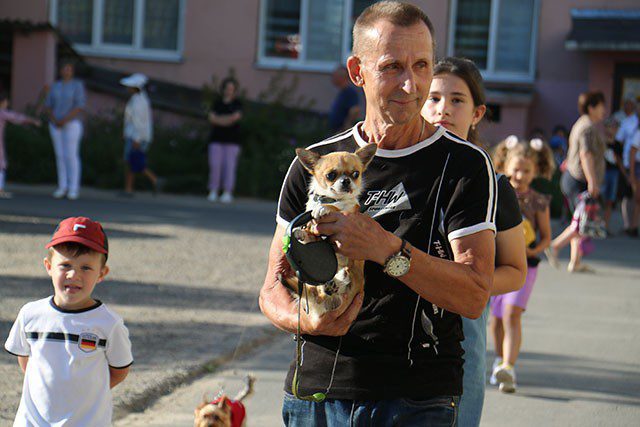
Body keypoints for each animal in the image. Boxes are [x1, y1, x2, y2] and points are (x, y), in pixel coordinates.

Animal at [282, 143, 377, 320]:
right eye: (331, 175)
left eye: (356, 174)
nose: (346, 181)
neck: (330, 198)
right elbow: (312, 233)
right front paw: (302, 233)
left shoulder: (348, 214)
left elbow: (335, 209)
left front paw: (324, 208)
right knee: (320, 292)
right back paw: (330, 286)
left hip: (354, 275)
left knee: (342, 283)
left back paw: (337, 281)